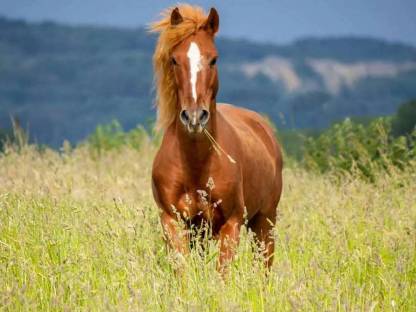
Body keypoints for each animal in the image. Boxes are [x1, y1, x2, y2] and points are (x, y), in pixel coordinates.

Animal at [150, 4, 282, 270]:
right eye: (174, 59)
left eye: (213, 59)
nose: (194, 117)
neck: (196, 165)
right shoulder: (173, 222)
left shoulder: (231, 225)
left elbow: (222, 273)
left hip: (265, 221)